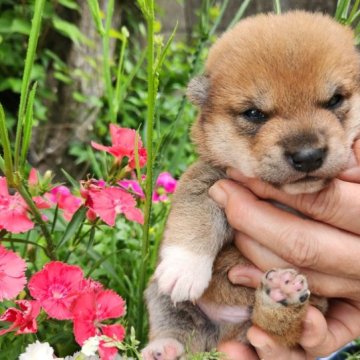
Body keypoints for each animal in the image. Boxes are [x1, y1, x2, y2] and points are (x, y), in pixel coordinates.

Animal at [142, 11, 360, 360]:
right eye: (255, 113)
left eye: (335, 99)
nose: (308, 156)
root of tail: (224, 330)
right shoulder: (208, 179)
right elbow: (197, 216)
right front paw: (184, 267)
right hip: (160, 297)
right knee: (177, 328)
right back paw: (163, 348)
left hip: (290, 316)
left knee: (275, 326)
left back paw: (280, 296)